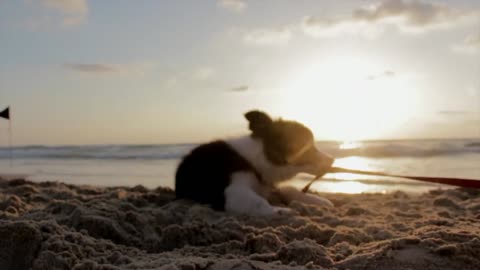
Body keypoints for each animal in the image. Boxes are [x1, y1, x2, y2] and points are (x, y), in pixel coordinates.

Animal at [175, 109, 334, 215]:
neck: (256, 159)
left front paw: (317, 200)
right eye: (308, 147)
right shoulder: (233, 191)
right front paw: (279, 210)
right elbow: (260, 202)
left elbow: (290, 189)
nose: (332, 159)